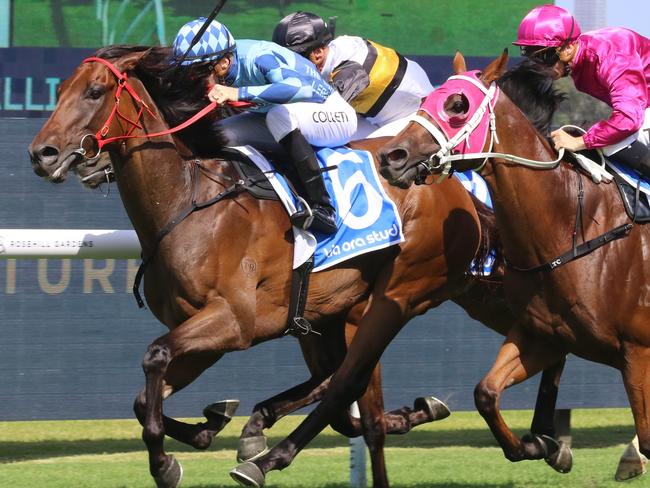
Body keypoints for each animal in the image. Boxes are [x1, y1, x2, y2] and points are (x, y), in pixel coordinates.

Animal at [27, 46, 478, 488]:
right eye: (60, 90)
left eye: (95, 92)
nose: (41, 154)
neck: (188, 201)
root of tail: (450, 188)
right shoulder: (199, 330)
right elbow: (143, 399)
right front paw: (209, 425)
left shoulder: (234, 320)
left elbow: (154, 356)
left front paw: (164, 464)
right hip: (326, 315)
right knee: (335, 381)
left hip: (389, 298)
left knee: (353, 386)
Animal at [378, 53, 648, 472]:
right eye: (424, 100)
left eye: (458, 105)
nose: (392, 156)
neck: (573, 227)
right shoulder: (543, 336)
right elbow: (486, 392)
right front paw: (536, 446)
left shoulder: (637, 353)